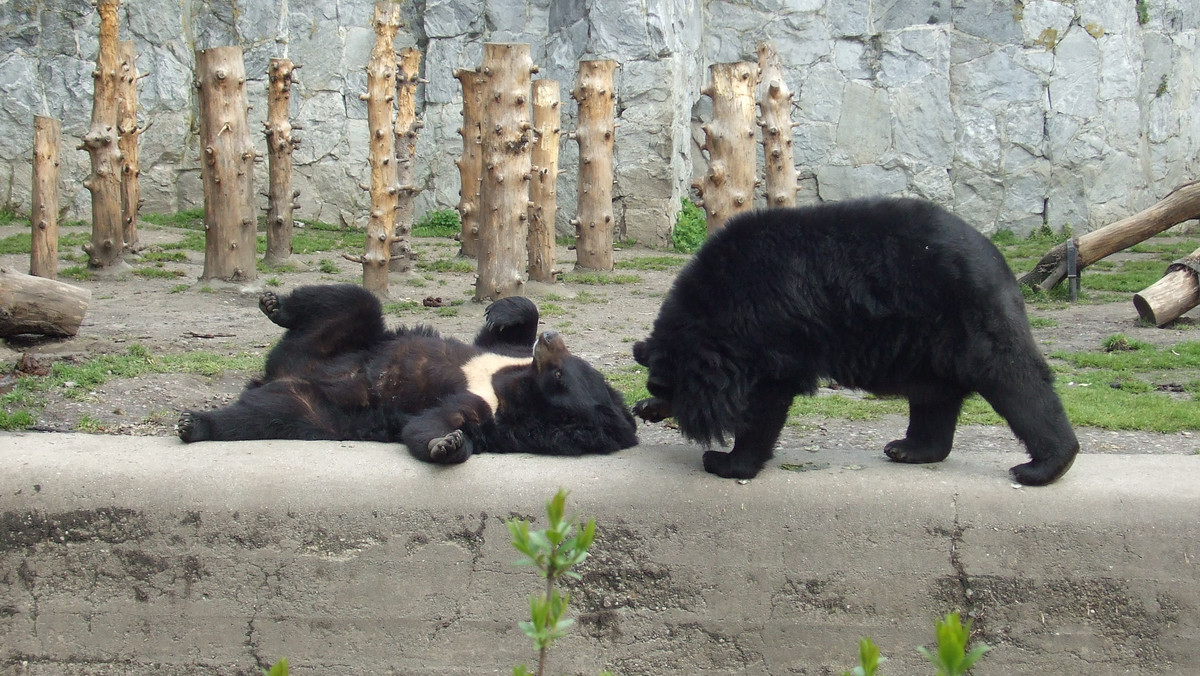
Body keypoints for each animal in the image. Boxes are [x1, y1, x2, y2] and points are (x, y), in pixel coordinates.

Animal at [176, 283, 638, 463]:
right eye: (575, 364)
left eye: (561, 378)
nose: (552, 339)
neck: (514, 383)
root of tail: (277, 372)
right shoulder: (498, 358)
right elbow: (498, 336)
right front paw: (505, 310)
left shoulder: (493, 412)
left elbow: (430, 423)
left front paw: (447, 444)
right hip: (345, 337)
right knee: (351, 301)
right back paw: (275, 305)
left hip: (309, 407)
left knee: (259, 415)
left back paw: (195, 423)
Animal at [633, 195, 1084, 487]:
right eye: (661, 389)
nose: (658, 404)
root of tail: (996, 259)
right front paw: (645, 409)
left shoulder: (773, 326)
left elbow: (766, 398)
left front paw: (726, 461)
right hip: (927, 339)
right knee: (935, 394)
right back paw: (911, 448)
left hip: (965, 313)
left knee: (1012, 376)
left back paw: (1044, 466)